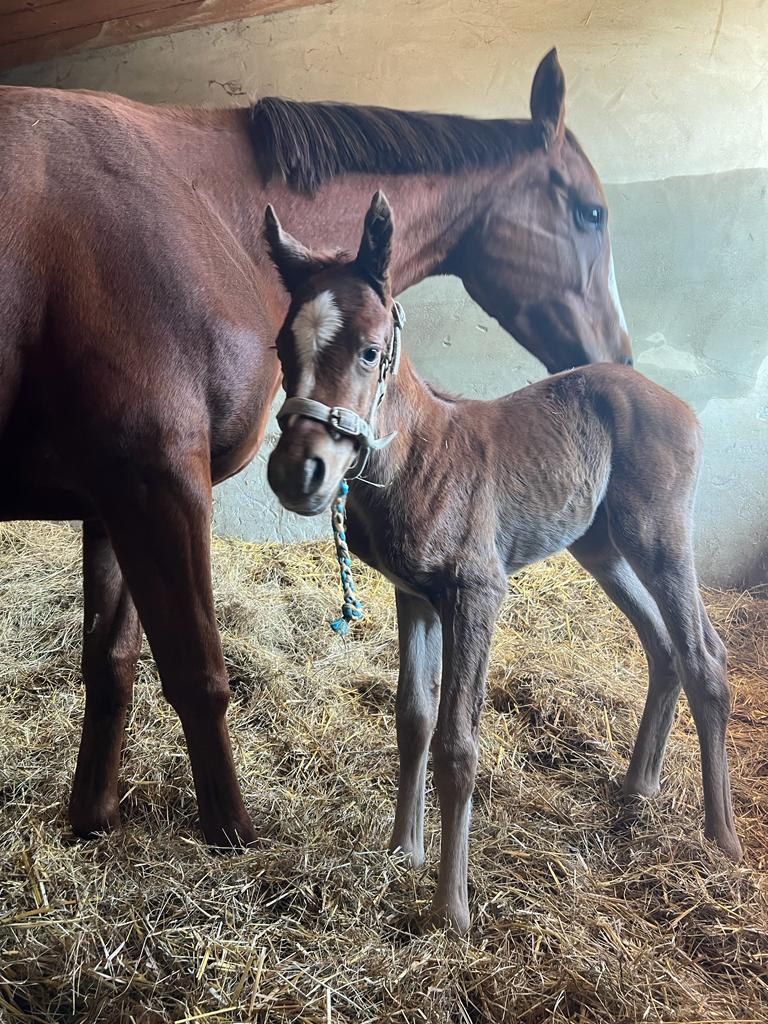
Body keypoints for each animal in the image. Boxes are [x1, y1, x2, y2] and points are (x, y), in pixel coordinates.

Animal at [0, 49, 632, 846]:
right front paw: (233, 836)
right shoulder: (159, 482)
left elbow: (111, 662)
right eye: (591, 212)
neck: (198, 206)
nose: (618, 355)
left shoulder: (111, 502)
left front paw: (92, 818)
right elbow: (198, 674)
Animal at [264, 192, 741, 933]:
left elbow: (458, 743)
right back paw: (637, 789)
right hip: (599, 546)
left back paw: (722, 841)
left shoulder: (475, 594)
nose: (298, 473)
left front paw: (451, 910)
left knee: (703, 657)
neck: (417, 457)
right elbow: (413, 719)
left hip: (658, 536)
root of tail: (675, 403)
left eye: (370, 351)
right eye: (285, 348)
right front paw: (402, 849)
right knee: (662, 647)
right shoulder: (414, 596)